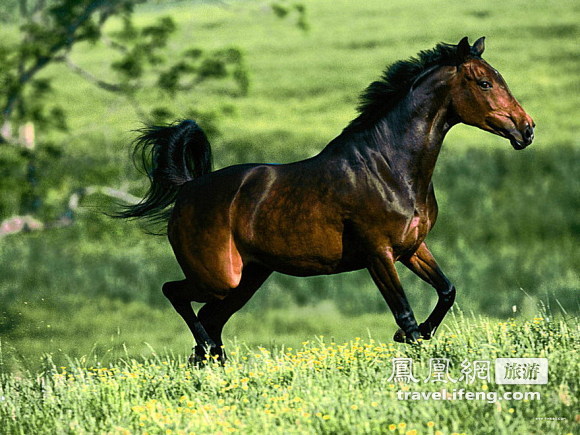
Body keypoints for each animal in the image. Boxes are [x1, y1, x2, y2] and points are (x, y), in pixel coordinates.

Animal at [116, 36, 536, 362]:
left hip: (247, 279)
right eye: (484, 83)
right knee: (176, 295)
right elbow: (405, 313)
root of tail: (189, 188)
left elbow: (447, 291)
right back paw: (207, 354)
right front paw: (410, 342)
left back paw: (211, 360)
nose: (527, 129)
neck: (389, 167)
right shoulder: (378, 254)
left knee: (209, 318)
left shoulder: (413, 247)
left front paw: (418, 336)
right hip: (218, 277)